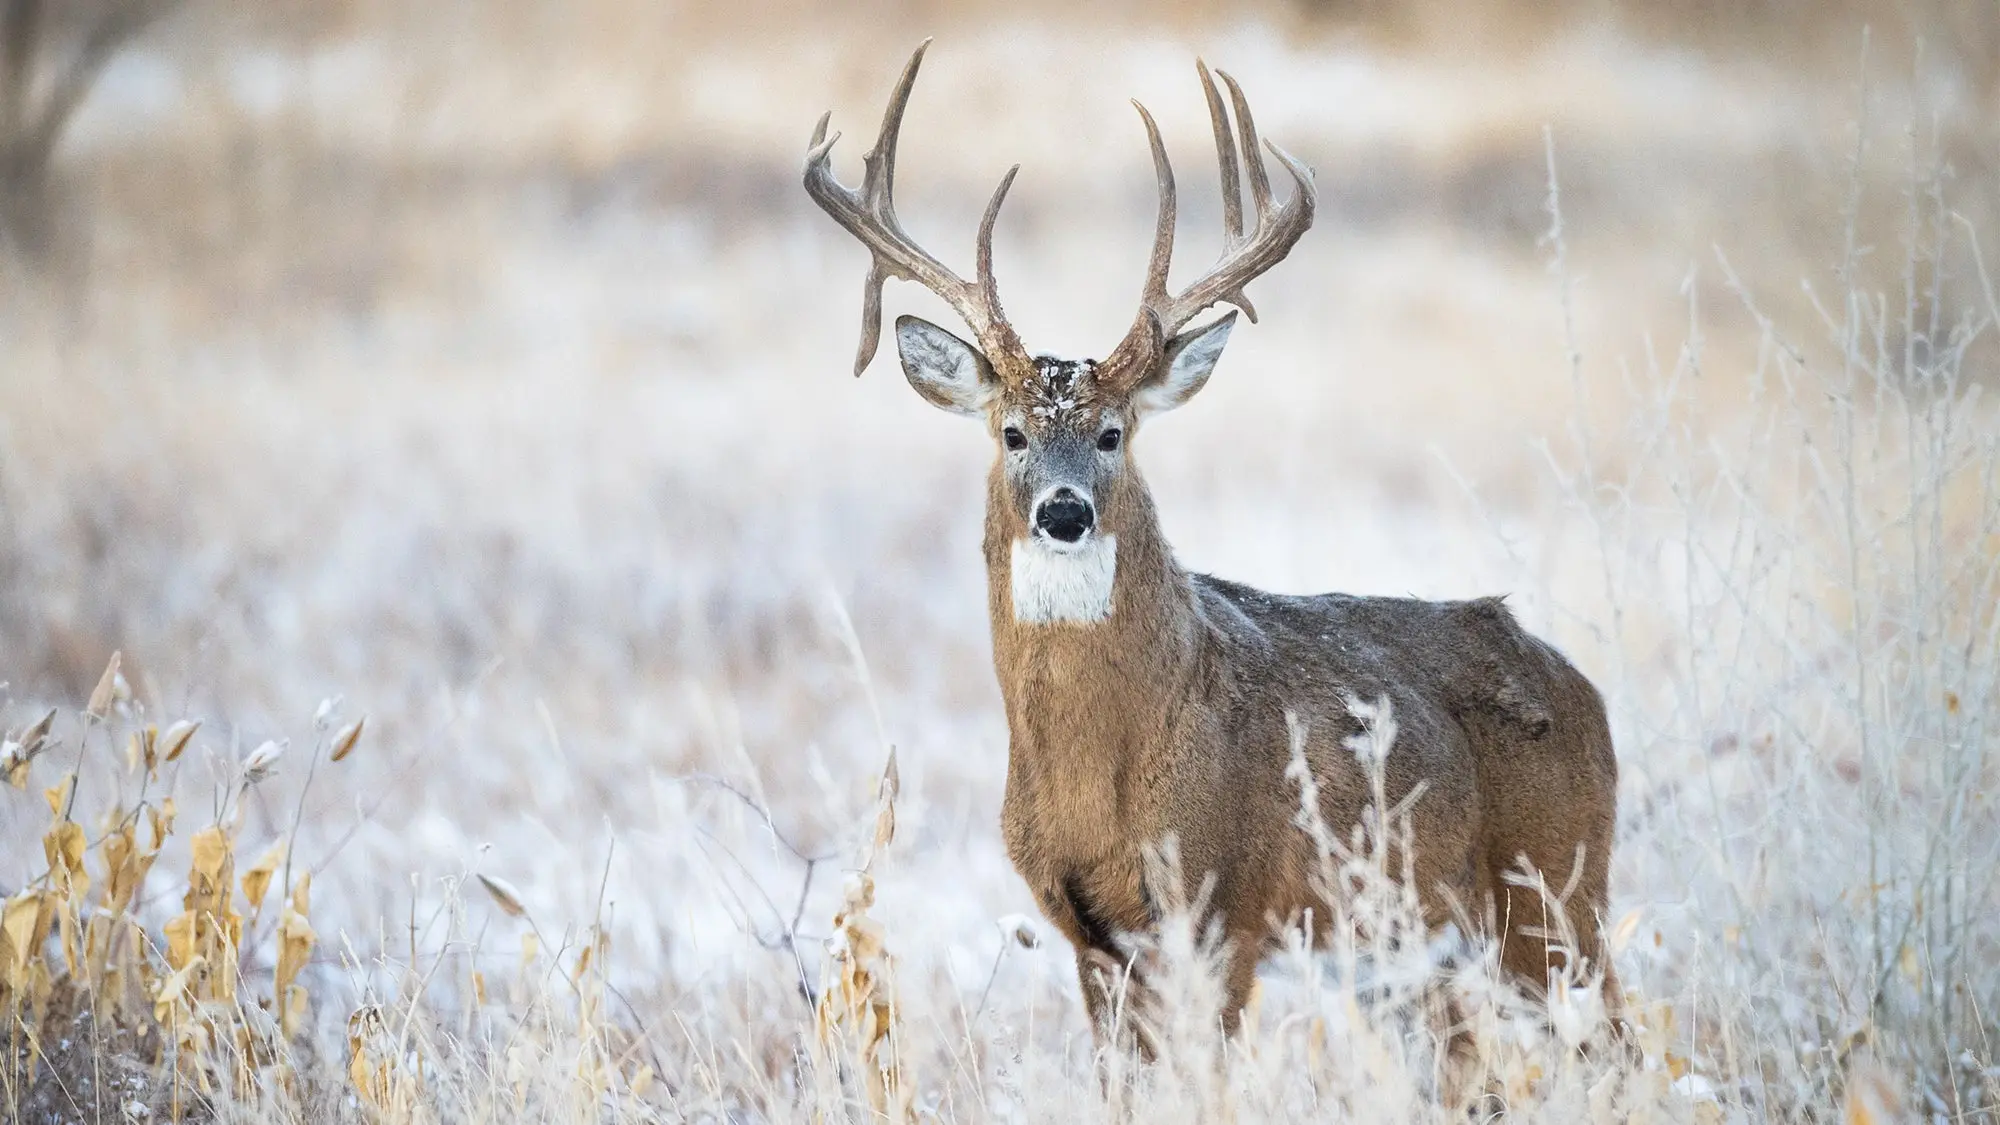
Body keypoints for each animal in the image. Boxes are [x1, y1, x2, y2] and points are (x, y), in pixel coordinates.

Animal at [800, 41, 1624, 1040]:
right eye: (1013, 433)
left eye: (1114, 433)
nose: (1065, 512)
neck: (1098, 772)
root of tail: (1585, 693)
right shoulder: (1090, 934)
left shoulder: (1227, 900)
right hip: (1428, 948)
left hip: (1555, 894)